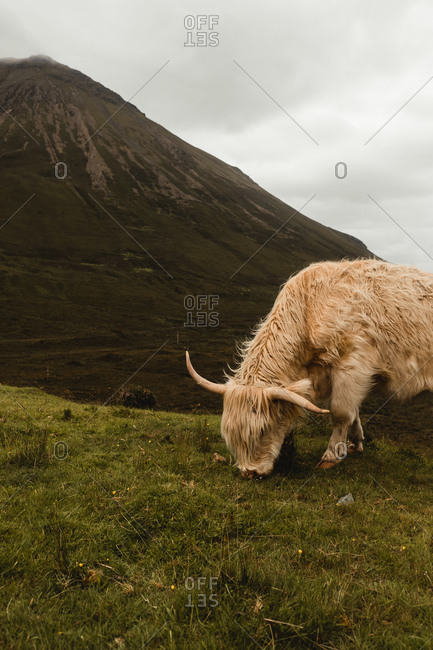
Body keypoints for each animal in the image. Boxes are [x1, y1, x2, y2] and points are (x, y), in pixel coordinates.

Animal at [186, 259, 433, 478]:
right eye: (230, 434)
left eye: (264, 429)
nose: (250, 473)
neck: (308, 309)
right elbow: (354, 413)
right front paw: (355, 443)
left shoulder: (353, 364)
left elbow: (342, 412)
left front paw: (331, 456)